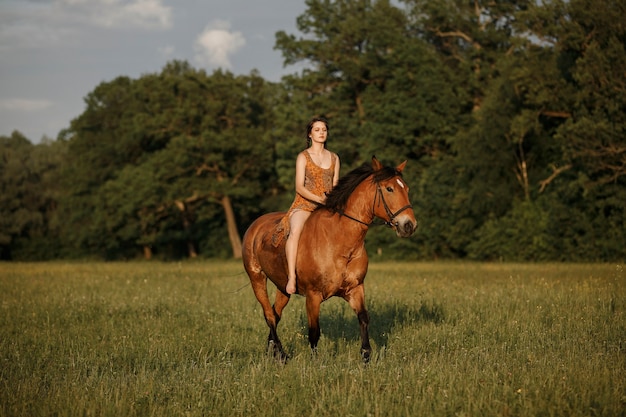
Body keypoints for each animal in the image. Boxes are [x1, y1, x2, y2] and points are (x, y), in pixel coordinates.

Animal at [240, 156, 414, 360]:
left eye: (407, 189)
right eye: (389, 189)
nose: (409, 225)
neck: (340, 242)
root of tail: (255, 224)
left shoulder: (355, 289)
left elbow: (363, 318)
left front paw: (366, 356)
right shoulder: (313, 296)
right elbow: (314, 331)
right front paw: (315, 363)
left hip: (282, 288)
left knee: (275, 314)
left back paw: (273, 351)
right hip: (257, 278)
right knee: (268, 314)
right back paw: (281, 354)